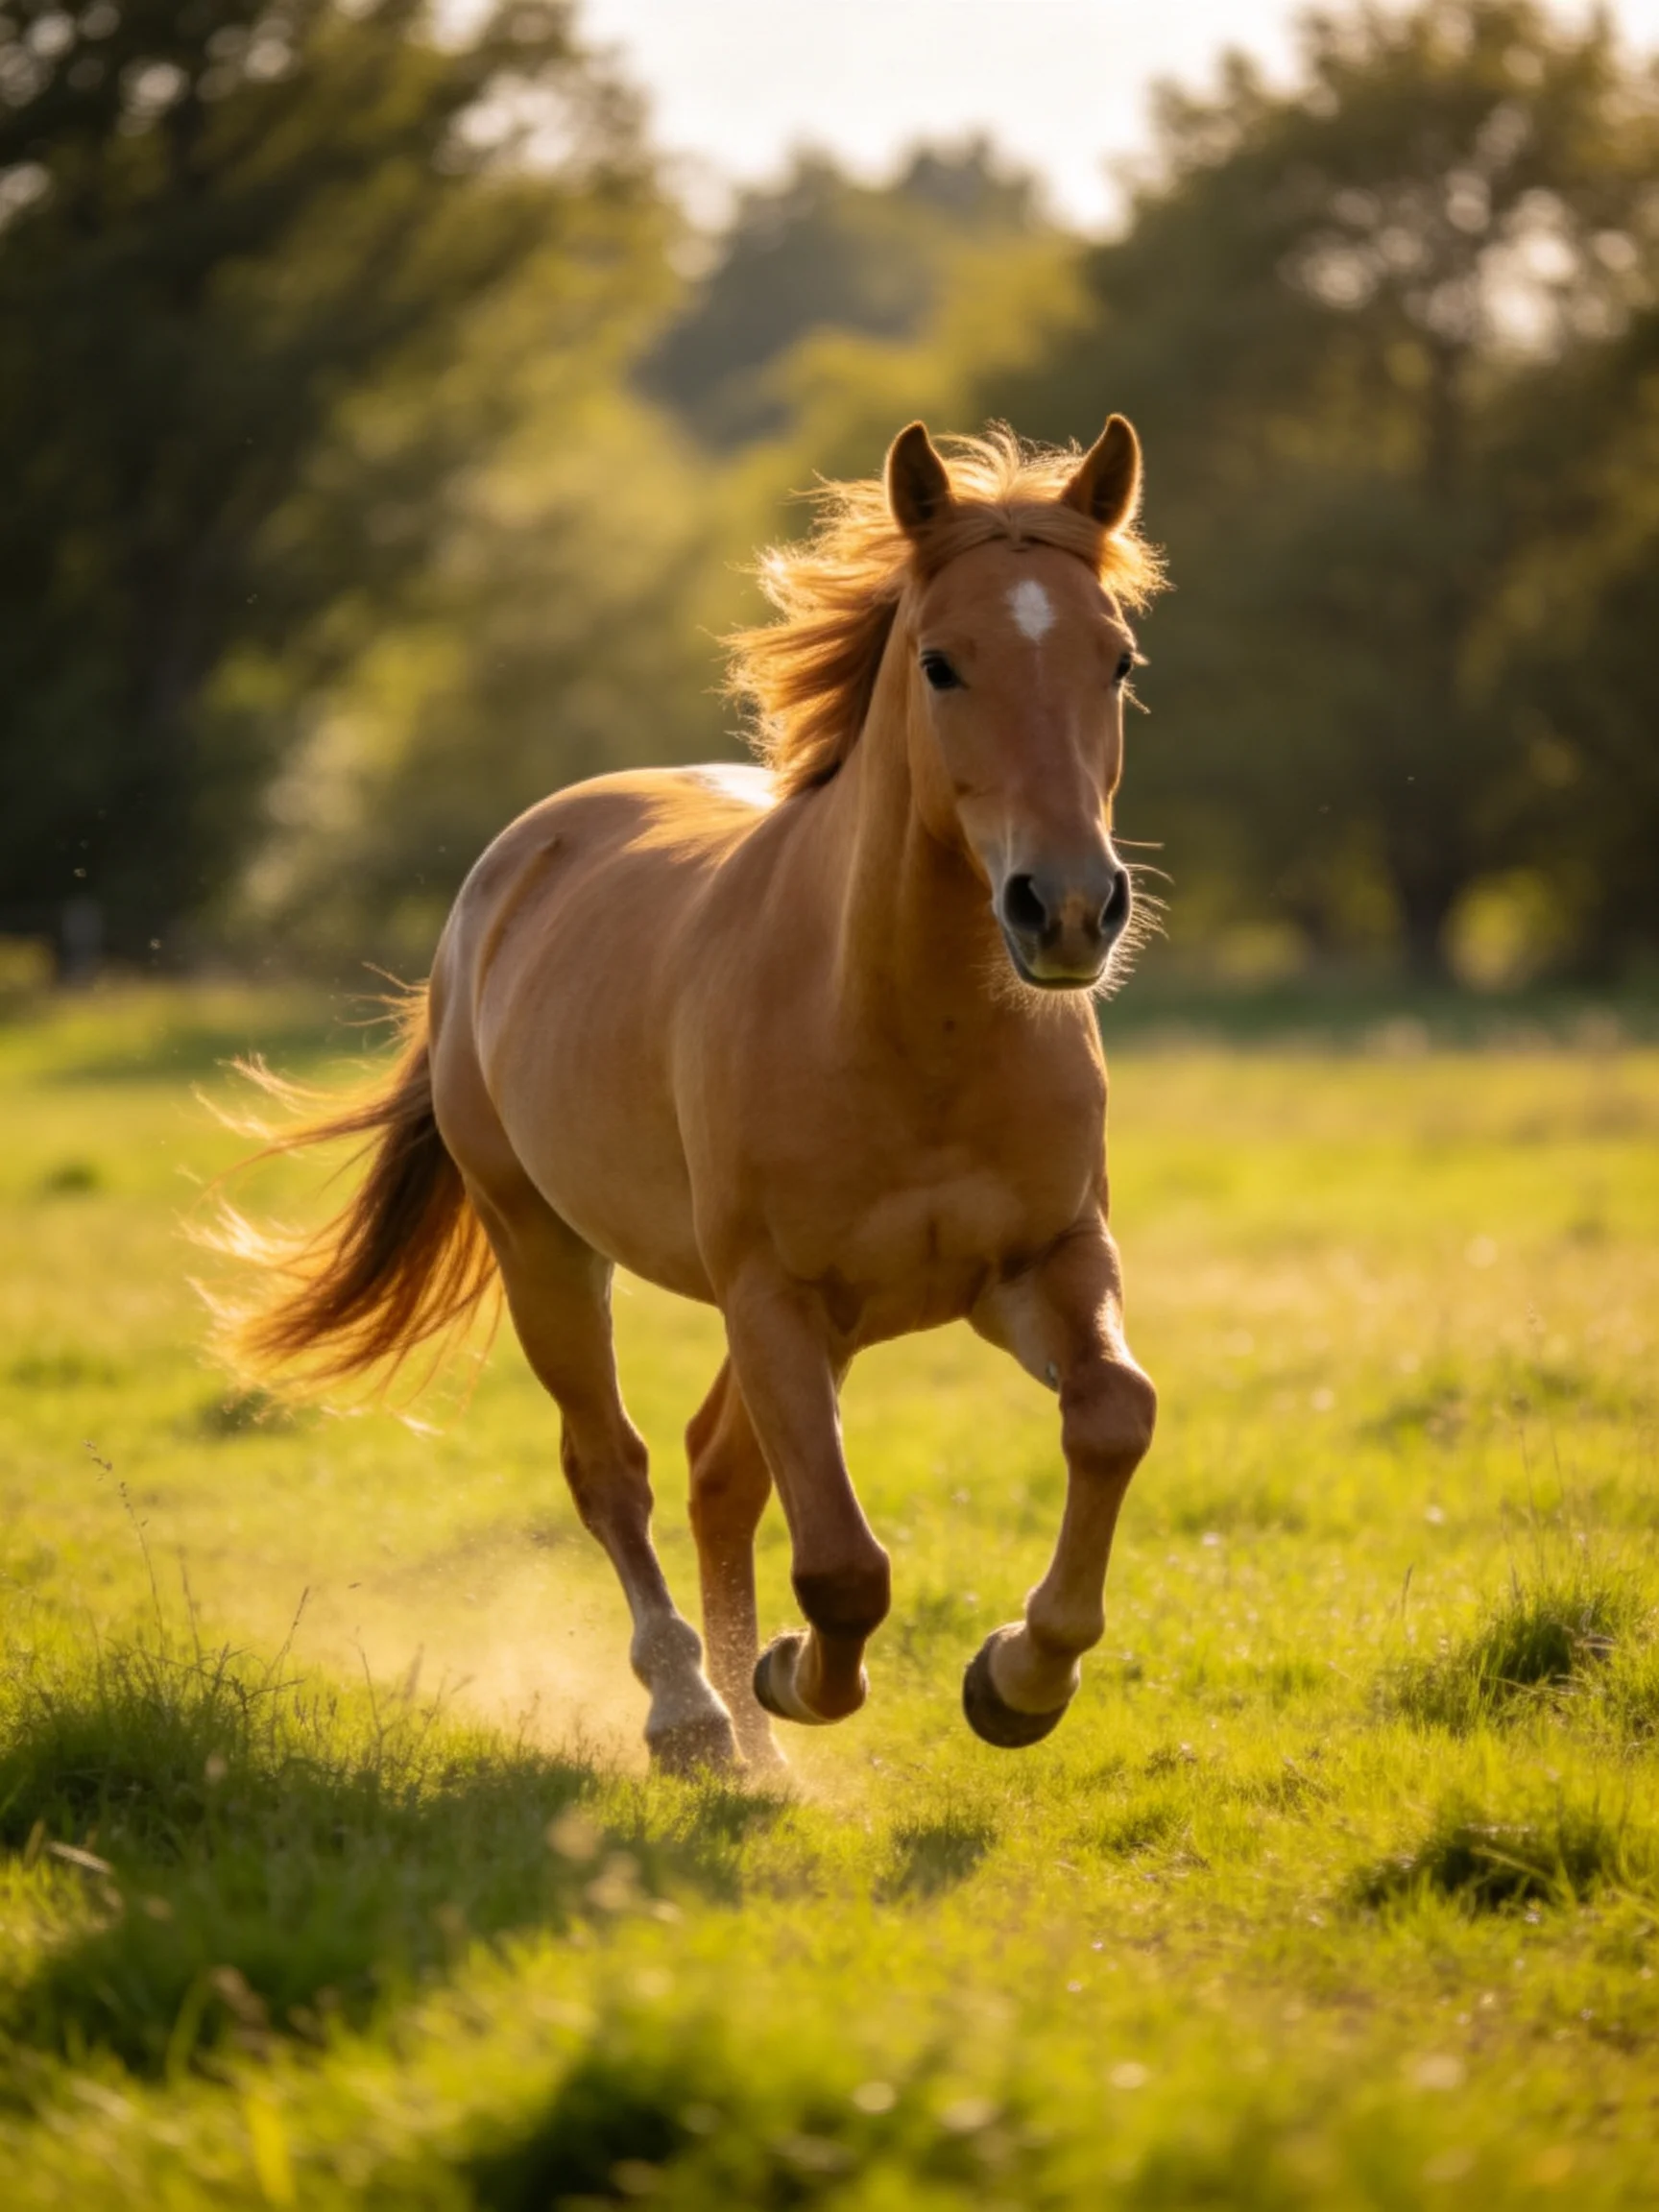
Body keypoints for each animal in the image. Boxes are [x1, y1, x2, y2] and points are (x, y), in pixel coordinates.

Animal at [222, 417, 1167, 1775]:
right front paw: (795, 1677)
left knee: (719, 1470)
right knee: (612, 1467)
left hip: (828, 1322)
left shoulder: (1042, 1265)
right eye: (941, 664)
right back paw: (694, 1714)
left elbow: (1111, 1415)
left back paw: (754, 1743)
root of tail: (508, 871)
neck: (903, 1028)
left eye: (1119, 661)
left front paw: (1018, 1677)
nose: (1072, 908)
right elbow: (841, 1566)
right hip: (548, 1249)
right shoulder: (774, 1295)